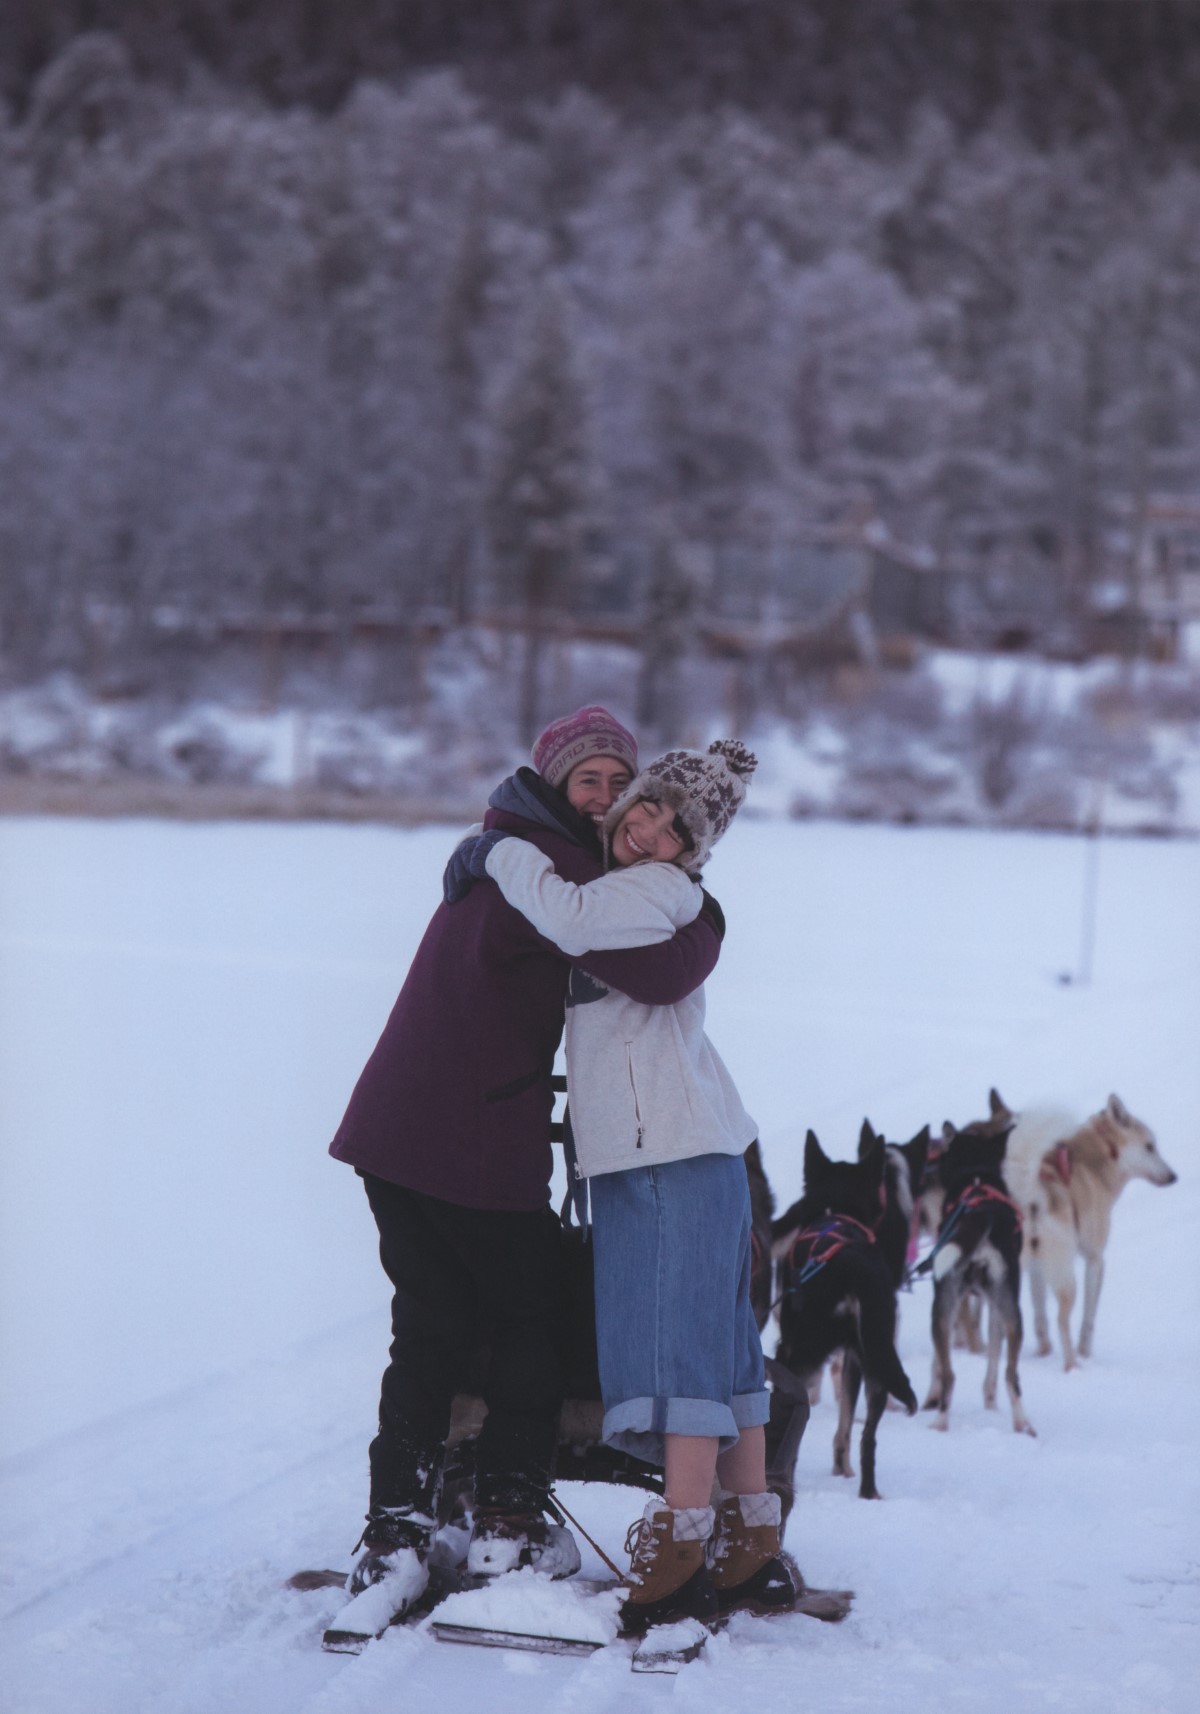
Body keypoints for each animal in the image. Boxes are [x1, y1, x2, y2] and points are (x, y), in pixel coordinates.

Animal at [1001, 1096, 1179, 1364]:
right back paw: (1072, 1365)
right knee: (1062, 1321)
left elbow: (1040, 1316)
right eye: (1150, 1146)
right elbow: (1089, 1316)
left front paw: (1044, 1351)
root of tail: (1029, 1194)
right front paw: (1084, 1352)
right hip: (1065, 1277)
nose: (1173, 1176)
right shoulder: (1095, 1258)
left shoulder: (1036, 1267)